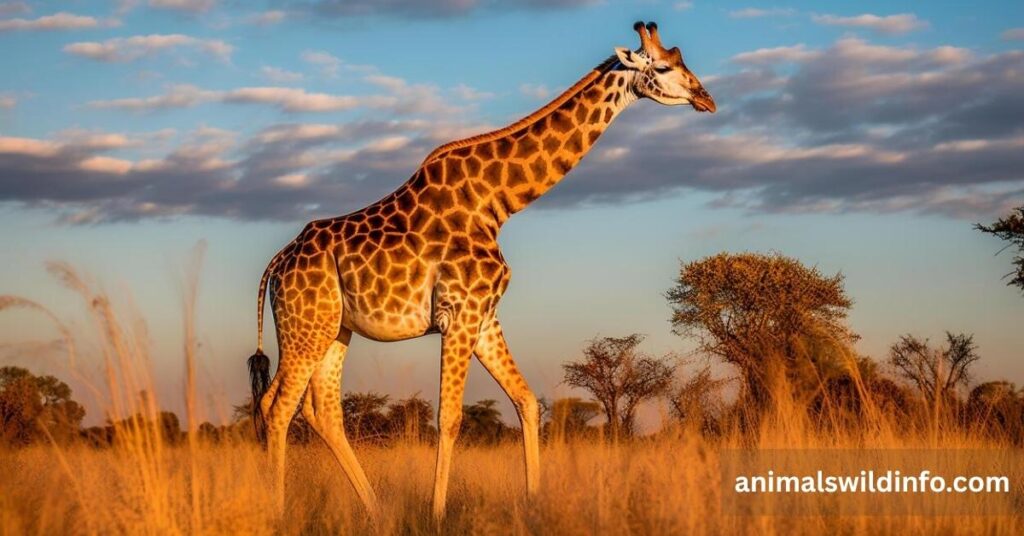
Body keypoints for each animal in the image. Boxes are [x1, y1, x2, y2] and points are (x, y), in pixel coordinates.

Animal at [246, 20, 715, 521]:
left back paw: (377, 511)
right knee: (278, 407)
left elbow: (527, 401)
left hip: (333, 328)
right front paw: (436, 515)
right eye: (663, 67)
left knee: (322, 409)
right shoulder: (460, 314)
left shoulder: (485, 316)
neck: (497, 202)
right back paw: (278, 512)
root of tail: (278, 263)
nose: (707, 98)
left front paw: (533, 502)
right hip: (305, 329)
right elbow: (450, 418)